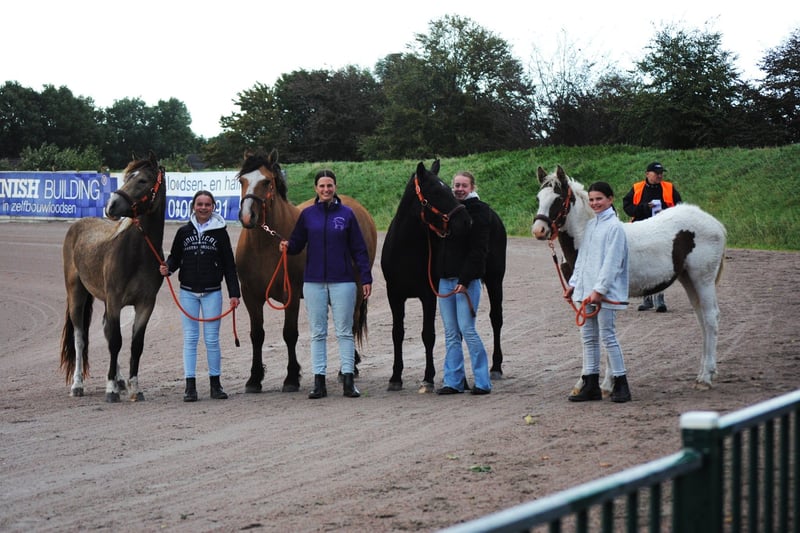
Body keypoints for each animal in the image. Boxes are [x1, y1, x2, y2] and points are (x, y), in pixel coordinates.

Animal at [60, 152, 166, 402]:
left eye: (143, 180)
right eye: (127, 177)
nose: (111, 205)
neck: (138, 252)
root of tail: (78, 225)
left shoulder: (145, 304)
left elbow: (135, 344)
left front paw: (134, 387)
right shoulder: (115, 299)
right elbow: (116, 341)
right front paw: (110, 389)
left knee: (106, 331)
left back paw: (119, 380)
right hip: (76, 294)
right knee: (80, 339)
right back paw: (78, 385)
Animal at [381, 160, 507, 393]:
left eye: (451, 189)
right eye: (436, 192)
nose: (466, 222)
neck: (406, 249)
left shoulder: (428, 295)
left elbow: (428, 335)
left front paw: (428, 378)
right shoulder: (394, 295)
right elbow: (397, 333)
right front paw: (395, 377)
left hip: (495, 280)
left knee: (496, 319)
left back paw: (495, 367)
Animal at [531, 165, 726, 392]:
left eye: (558, 198)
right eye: (539, 198)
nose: (539, 230)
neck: (590, 239)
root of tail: (716, 224)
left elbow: (605, 334)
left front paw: (607, 384)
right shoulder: (582, 298)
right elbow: (588, 335)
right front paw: (584, 382)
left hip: (703, 279)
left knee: (711, 318)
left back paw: (706, 377)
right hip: (688, 279)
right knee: (702, 319)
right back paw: (703, 373)